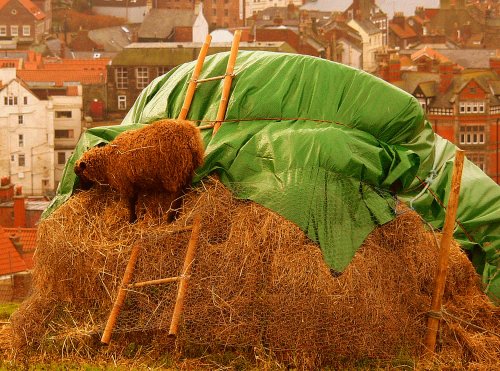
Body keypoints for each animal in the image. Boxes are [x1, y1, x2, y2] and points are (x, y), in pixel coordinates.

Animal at [73, 119, 205, 222]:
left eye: (79, 173)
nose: (81, 189)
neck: (107, 161)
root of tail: (189, 134)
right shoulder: (134, 183)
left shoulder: (126, 184)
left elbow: (131, 203)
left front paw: (132, 220)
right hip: (187, 170)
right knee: (184, 191)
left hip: (174, 170)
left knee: (177, 195)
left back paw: (171, 218)